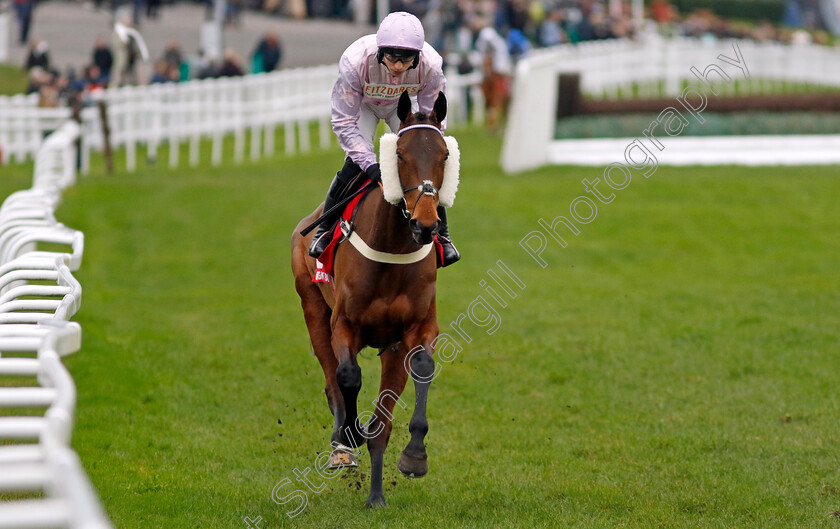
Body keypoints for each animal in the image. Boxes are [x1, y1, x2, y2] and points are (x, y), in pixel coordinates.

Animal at [288, 91, 460, 508]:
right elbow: (347, 376)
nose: (425, 225)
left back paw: (376, 495)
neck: (392, 248)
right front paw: (349, 434)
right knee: (332, 380)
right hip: (313, 310)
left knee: (383, 419)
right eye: (398, 154)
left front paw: (414, 457)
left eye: (445, 154)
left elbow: (421, 371)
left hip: (390, 348)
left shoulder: (416, 329)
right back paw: (342, 446)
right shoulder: (344, 325)